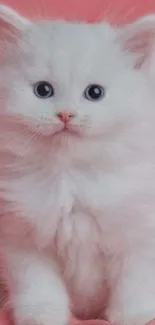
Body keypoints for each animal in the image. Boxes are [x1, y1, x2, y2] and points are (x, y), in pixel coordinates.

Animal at [0, 4, 155, 324]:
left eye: (94, 93)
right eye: (43, 91)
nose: (65, 115)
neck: (70, 178)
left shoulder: (139, 236)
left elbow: (134, 284)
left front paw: (135, 315)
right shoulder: (23, 241)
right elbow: (38, 288)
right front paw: (42, 316)